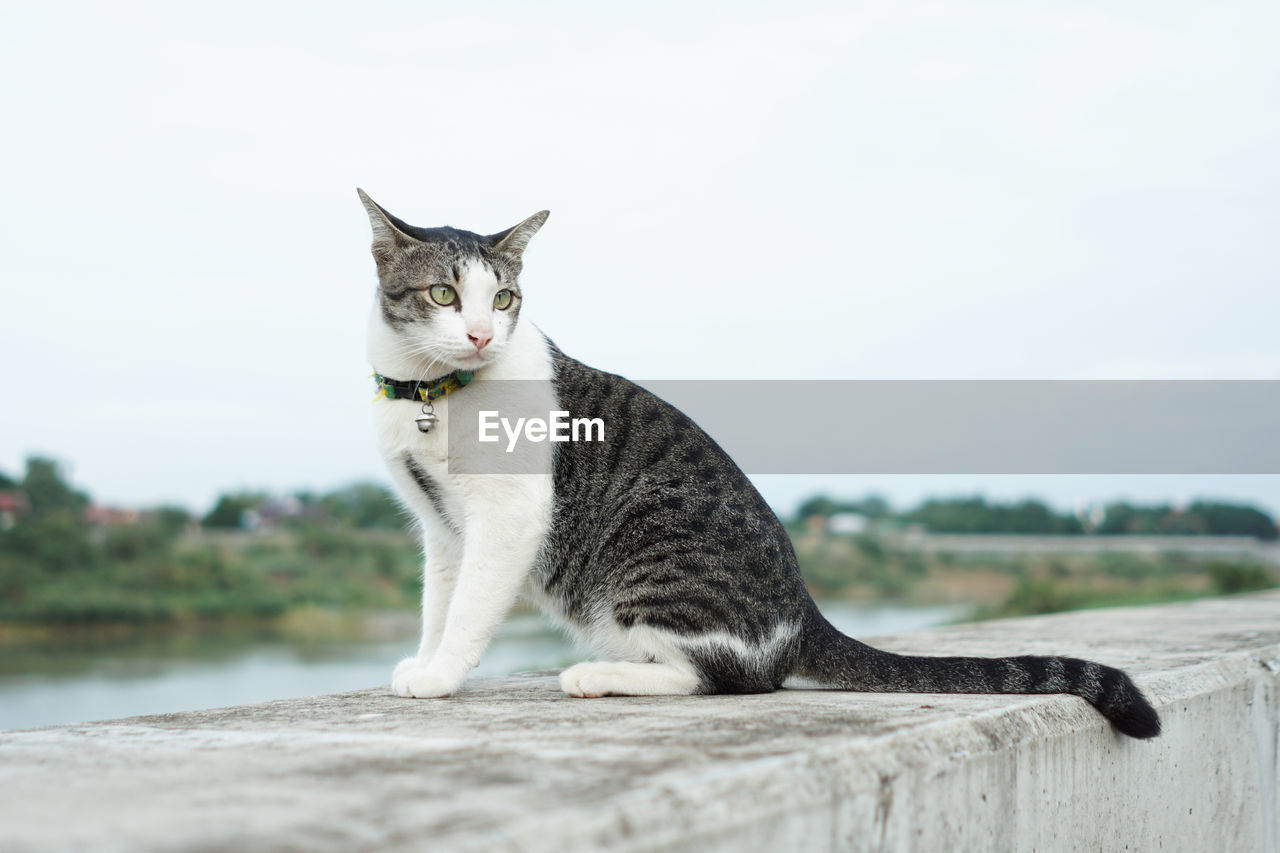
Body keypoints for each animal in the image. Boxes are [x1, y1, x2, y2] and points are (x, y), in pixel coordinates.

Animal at [358, 189, 1162, 732]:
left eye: (503, 298)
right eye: (443, 293)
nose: (480, 335)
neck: (432, 390)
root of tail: (803, 612)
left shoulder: (507, 514)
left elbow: (469, 608)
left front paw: (441, 675)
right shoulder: (442, 526)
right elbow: (438, 602)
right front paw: (423, 661)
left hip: (648, 547)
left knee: (728, 676)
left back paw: (598, 673)